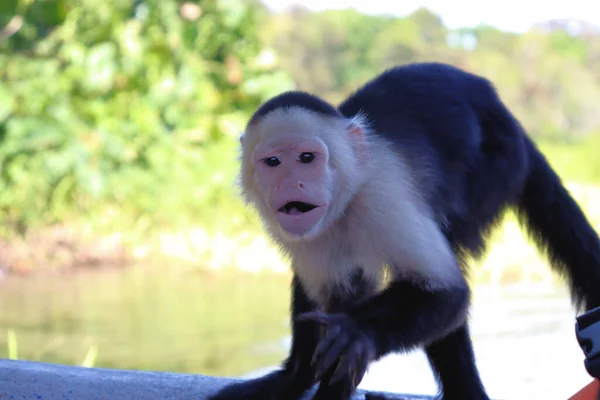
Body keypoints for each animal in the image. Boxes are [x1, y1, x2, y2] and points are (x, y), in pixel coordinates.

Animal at [209, 62, 600, 400]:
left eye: (307, 158)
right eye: (273, 162)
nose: (292, 182)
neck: (346, 199)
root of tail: (502, 110)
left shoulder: (382, 197)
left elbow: (447, 295)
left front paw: (358, 333)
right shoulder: (302, 231)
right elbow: (333, 295)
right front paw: (301, 376)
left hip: (497, 163)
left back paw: (465, 393)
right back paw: (294, 376)